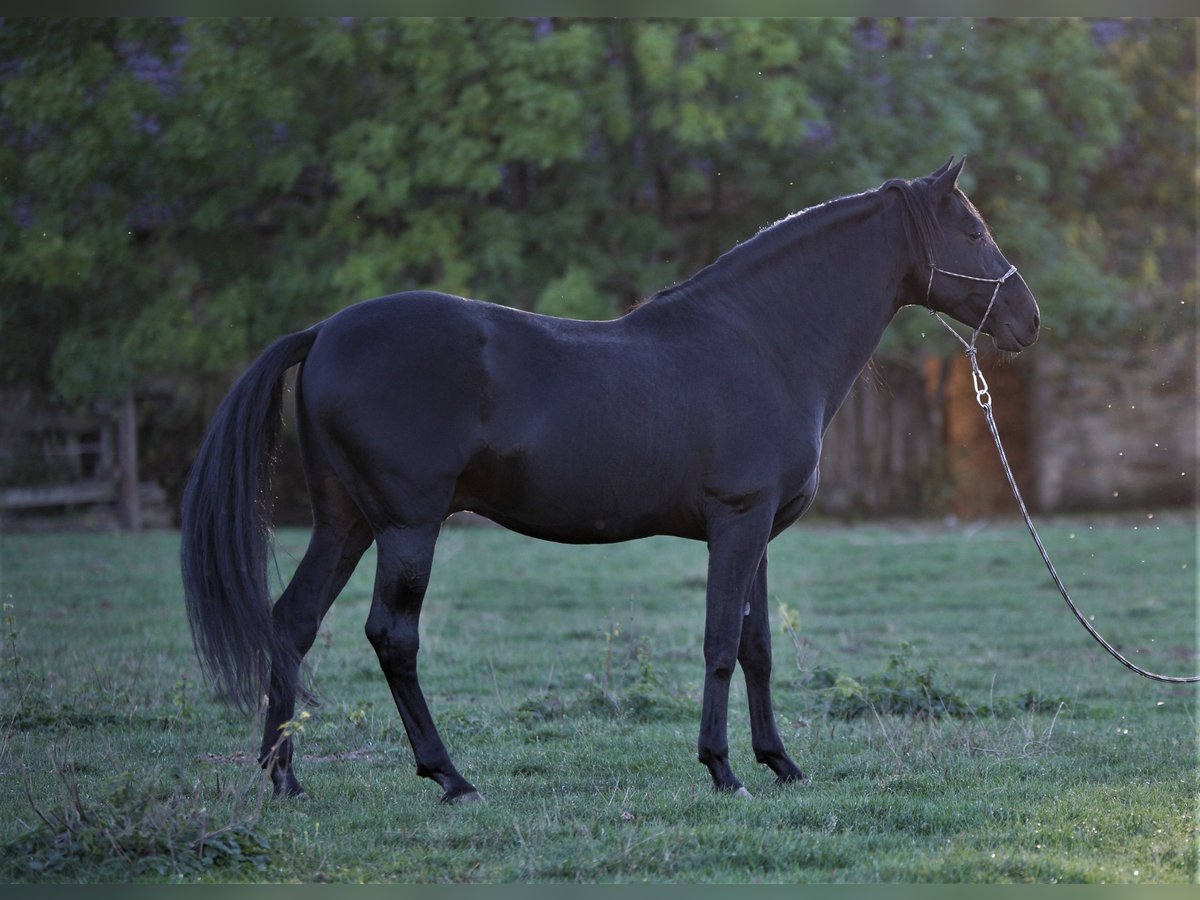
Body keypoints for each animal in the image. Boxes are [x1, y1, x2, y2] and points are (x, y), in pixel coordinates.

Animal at [180, 160, 1041, 801]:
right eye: (972, 229)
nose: (1028, 320)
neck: (762, 342)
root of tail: (325, 331)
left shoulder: (758, 531)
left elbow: (757, 647)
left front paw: (781, 763)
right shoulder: (735, 523)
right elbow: (720, 642)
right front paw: (723, 770)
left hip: (346, 522)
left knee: (291, 623)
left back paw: (284, 778)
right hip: (406, 527)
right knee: (391, 636)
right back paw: (450, 777)